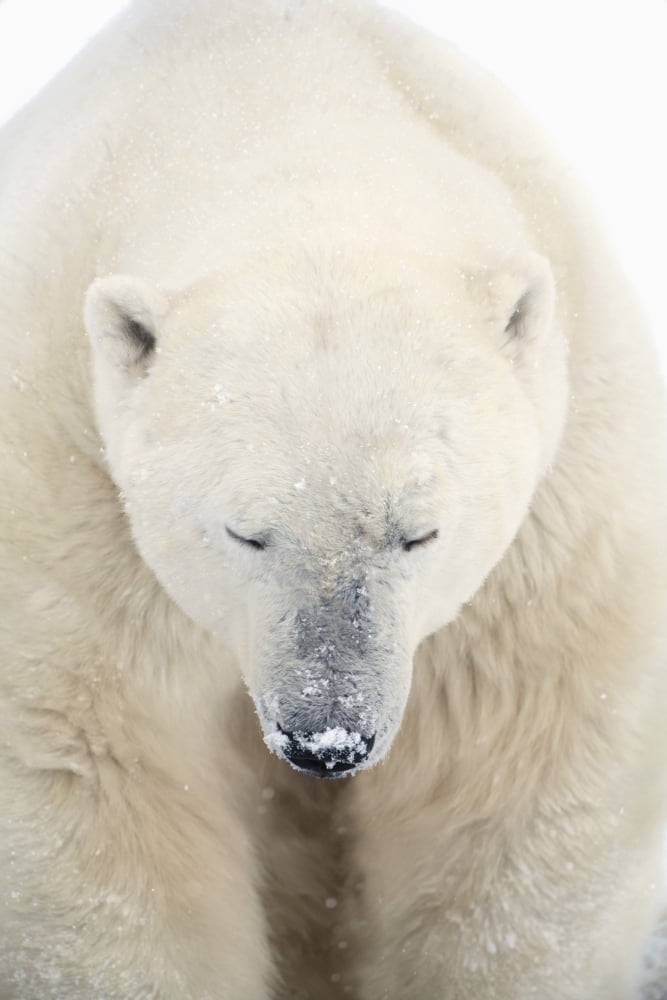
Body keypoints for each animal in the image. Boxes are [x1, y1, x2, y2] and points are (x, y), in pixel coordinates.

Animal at [1, 0, 666, 997]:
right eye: (244, 533)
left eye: (418, 533)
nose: (327, 738)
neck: (286, 94)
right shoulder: (63, 486)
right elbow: (100, 792)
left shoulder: (555, 522)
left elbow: (512, 786)